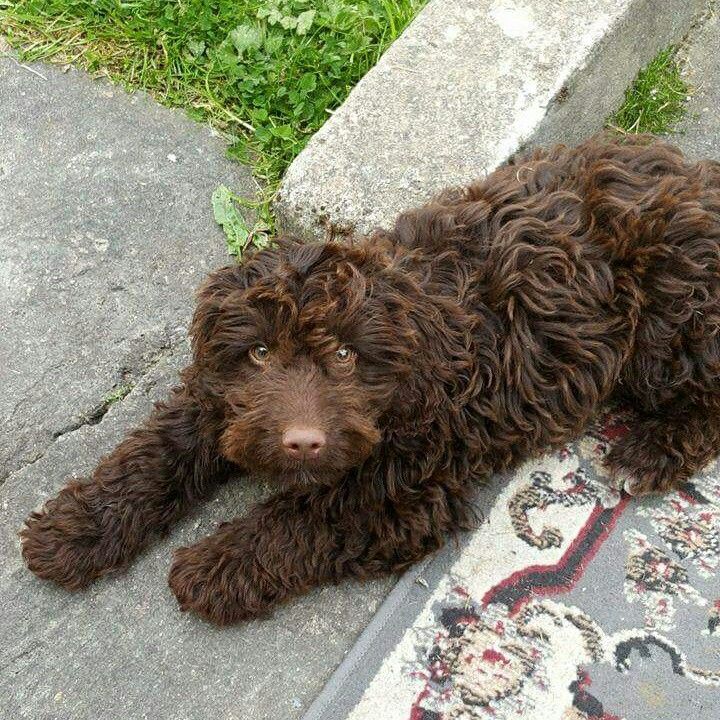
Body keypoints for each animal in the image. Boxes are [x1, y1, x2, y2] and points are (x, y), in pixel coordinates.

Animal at [19, 134, 720, 624]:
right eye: (260, 353)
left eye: (346, 356)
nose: (302, 442)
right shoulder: (215, 400)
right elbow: (157, 453)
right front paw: (77, 528)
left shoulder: (409, 491)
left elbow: (304, 518)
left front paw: (217, 566)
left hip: (668, 324)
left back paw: (644, 455)